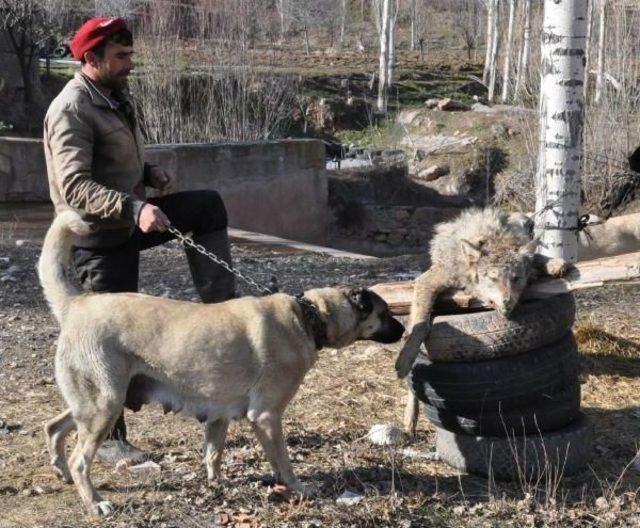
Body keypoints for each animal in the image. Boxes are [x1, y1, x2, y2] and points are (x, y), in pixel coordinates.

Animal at [38, 210, 404, 516]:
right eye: (385, 312)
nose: (403, 329)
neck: (309, 316)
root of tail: (78, 303)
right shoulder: (266, 416)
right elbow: (282, 461)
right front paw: (297, 487)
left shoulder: (218, 415)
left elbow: (213, 455)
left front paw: (217, 484)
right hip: (104, 405)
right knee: (80, 460)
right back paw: (94, 501)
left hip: (98, 403)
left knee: (54, 426)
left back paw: (59, 469)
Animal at [396, 208, 568, 436]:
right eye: (492, 278)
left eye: (515, 278)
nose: (507, 301)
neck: (493, 238)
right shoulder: (430, 280)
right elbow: (421, 324)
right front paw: (404, 359)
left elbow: (535, 256)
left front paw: (555, 263)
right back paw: (409, 417)